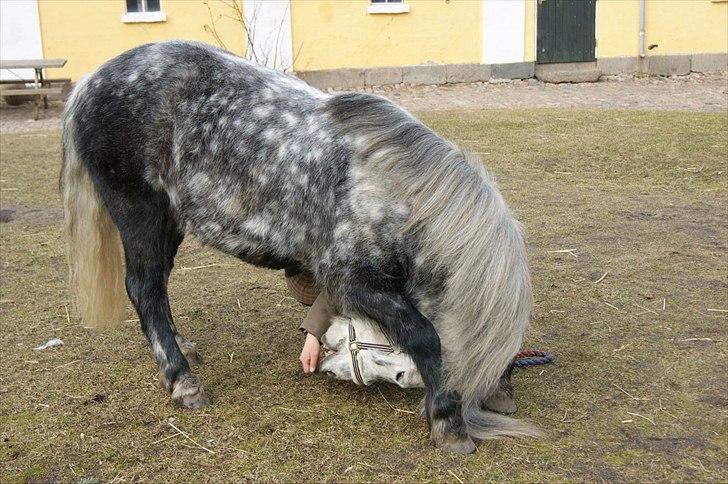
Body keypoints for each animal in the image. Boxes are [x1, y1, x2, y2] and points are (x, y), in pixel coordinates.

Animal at [62, 41, 536, 454]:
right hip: (139, 213)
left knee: (157, 288)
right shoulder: (355, 283)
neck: (397, 196)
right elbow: (424, 335)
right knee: (143, 287)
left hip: (169, 222)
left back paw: (183, 349)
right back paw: (182, 380)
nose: (501, 394)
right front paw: (449, 425)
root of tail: (88, 83)